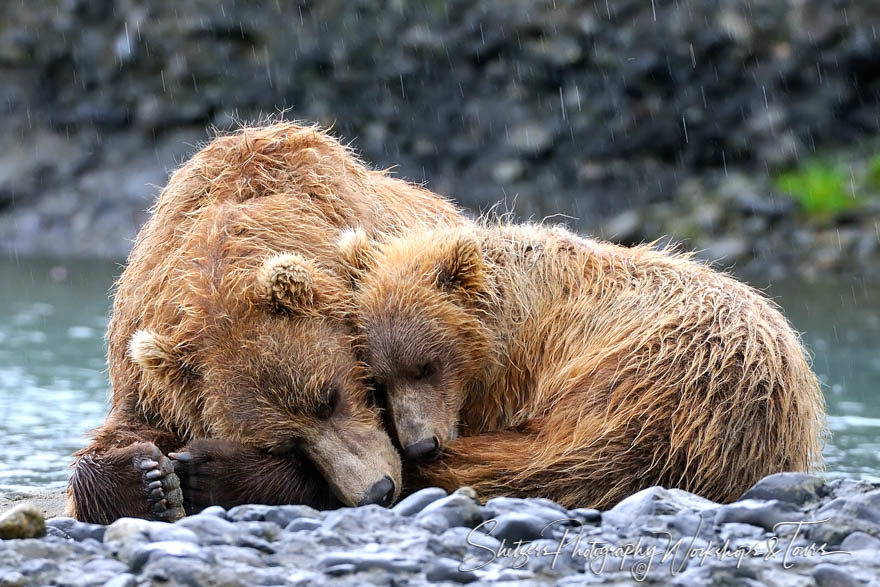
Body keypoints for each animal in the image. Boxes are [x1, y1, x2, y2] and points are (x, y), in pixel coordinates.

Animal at [65, 123, 464, 524]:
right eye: (285, 443)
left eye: (329, 398)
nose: (378, 491)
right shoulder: (148, 364)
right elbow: (126, 429)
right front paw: (149, 480)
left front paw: (208, 472)